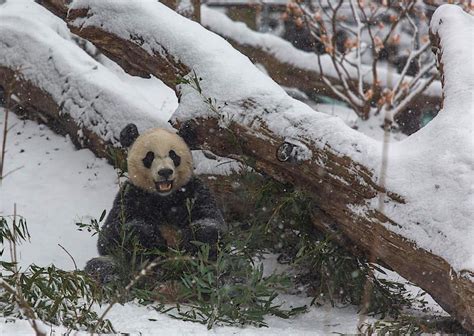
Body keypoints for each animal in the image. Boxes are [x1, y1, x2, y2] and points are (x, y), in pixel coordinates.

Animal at [84, 122, 224, 282]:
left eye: (173, 155)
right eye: (149, 156)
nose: (165, 172)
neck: (164, 198)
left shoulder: (194, 191)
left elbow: (211, 222)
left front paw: (191, 242)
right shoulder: (130, 196)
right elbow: (110, 235)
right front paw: (152, 240)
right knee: (102, 266)